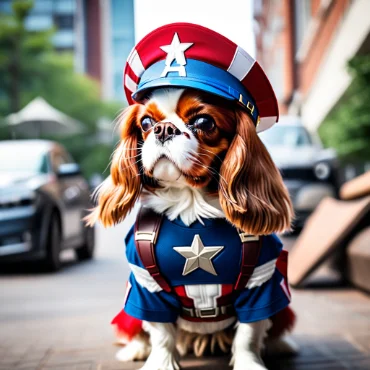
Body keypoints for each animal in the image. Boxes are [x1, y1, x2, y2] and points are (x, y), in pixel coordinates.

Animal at [88, 23, 296, 370]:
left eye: (202, 122)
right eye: (146, 122)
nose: (163, 129)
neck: (191, 208)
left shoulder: (263, 280)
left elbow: (249, 333)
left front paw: (250, 363)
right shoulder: (145, 286)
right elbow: (160, 333)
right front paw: (159, 363)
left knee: (277, 321)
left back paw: (280, 344)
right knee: (134, 325)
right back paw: (135, 349)